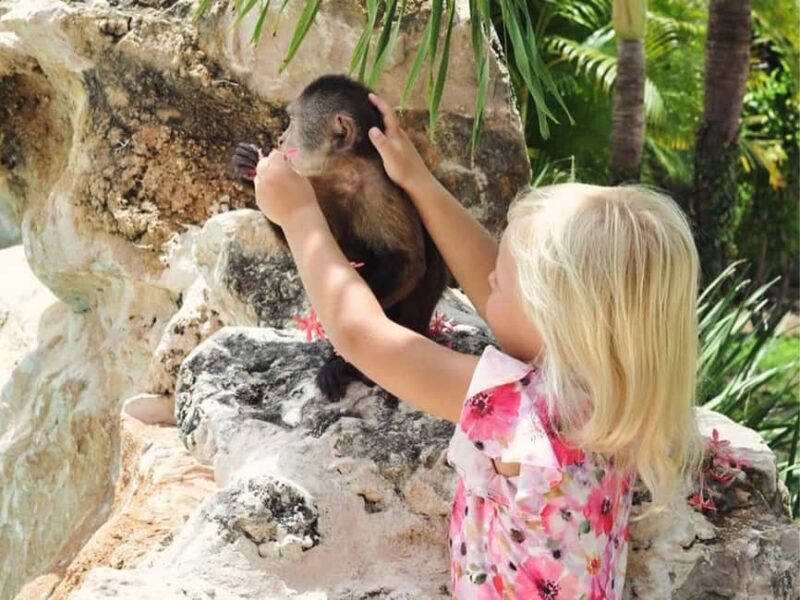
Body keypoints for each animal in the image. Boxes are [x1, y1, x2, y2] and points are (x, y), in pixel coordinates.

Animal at [229, 74, 448, 403]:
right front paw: (247, 168)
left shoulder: (380, 188)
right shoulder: (319, 183)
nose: (280, 140)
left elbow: (408, 261)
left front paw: (339, 352)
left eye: (292, 123)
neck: (346, 173)